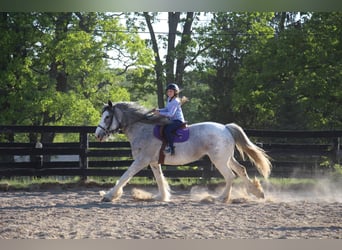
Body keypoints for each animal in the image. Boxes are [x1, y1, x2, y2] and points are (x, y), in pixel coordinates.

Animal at [95, 100, 272, 202]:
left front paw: (109, 195)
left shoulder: (141, 161)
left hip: (219, 160)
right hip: (226, 158)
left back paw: (221, 197)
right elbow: (159, 179)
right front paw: (162, 196)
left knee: (230, 176)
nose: (97, 134)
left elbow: (124, 176)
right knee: (241, 170)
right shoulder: (153, 162)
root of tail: (226, 128)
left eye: (107, 117)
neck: (142, 128)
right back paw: (256, 192)